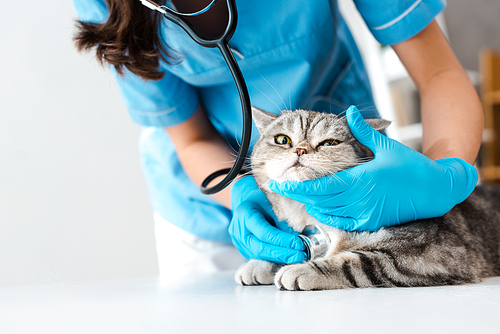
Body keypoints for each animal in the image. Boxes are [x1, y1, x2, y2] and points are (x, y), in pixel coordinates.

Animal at [236, 107, 500, 290]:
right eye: (282, 139)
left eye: (329, 143)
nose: (300, 149)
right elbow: (291, 247)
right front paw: (261, 262)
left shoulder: (432, 254)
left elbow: (356, 262)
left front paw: (300, 270)